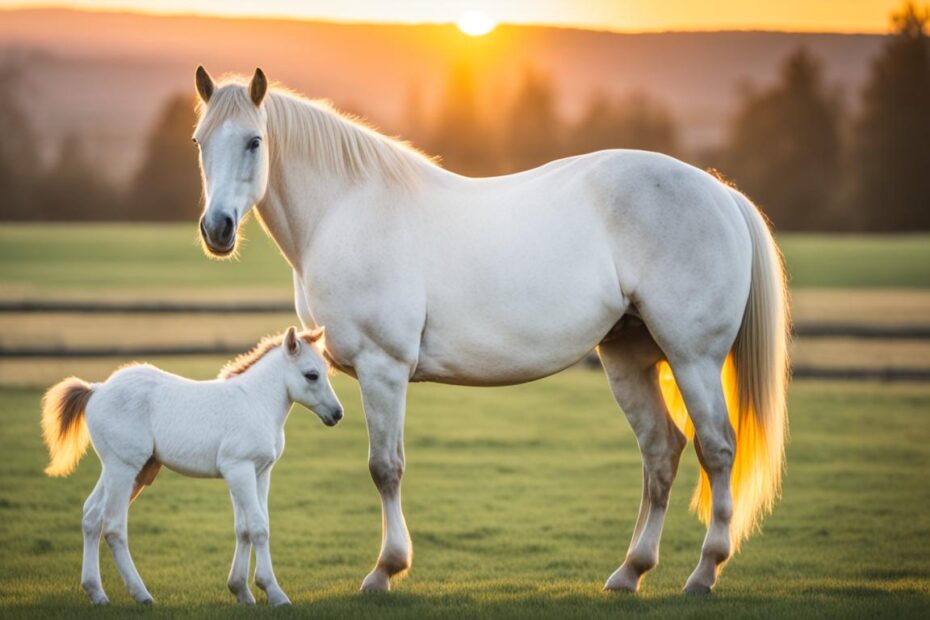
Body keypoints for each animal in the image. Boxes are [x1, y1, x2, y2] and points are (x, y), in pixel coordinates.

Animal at [41, 326, 342, 608]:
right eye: (311, 375)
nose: (337, 414)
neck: (255, 402)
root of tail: (96, 390)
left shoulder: (257, 473)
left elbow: (244, 528)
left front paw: (241, 591)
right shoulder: (240, 469)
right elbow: (258, 527)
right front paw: (274, 592)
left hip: (120, 469)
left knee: (91, 516)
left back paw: (96, 592)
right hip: (123, 468)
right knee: (113, 526)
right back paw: (141, 595)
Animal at [192, 68, 788, 596]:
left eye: (254, 141)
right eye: (200, 141)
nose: (217, 229)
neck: (345, 210)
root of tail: (721, 194)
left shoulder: (383, 367)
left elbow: (385, 468)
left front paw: (386, 570)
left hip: (693, 360)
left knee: (717, 449)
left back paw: (704, 573)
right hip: (629, 358)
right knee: (662, 451)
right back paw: (630, 572)